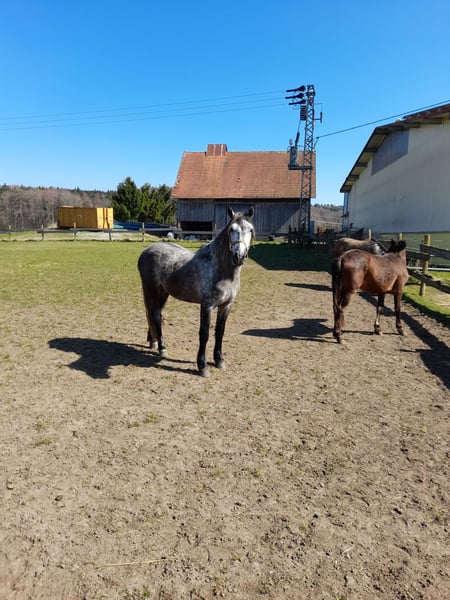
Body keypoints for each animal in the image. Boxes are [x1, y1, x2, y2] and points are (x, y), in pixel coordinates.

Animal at [137, 207, 255, 377]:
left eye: (250, 230)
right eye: (232, 229)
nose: (239, 256)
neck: (221, 270)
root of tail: (147, 250)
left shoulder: (226, 306)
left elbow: (220, 332)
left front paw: (219, 360)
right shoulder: (207, 306)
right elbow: (204, 333)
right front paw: (202, 366)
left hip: (163, 292)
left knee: (154, 314)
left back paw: (153, 342)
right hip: (150, 288)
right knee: (155, 315)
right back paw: (162, 347)